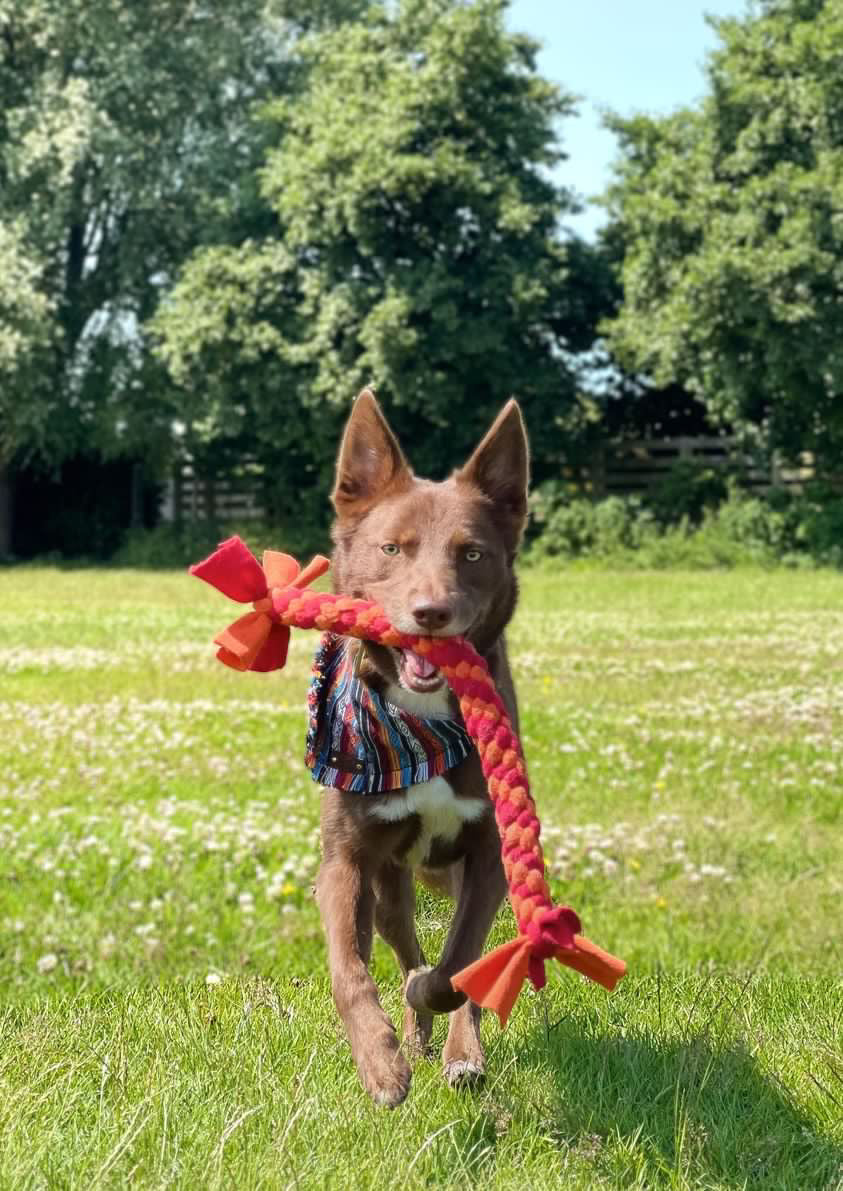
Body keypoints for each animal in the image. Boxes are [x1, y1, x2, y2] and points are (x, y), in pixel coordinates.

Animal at [311, 390, 531, 1105]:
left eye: (472, 554)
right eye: (391, 548)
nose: (431, 613)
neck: (421, 724)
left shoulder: (489, 856)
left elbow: (458, 966)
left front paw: (436, 1007)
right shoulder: (346, 861)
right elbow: (351, 971)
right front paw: (380, 1063)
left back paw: (461, 1053)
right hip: (389, 888)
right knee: (401, 942)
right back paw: (411, 1038)